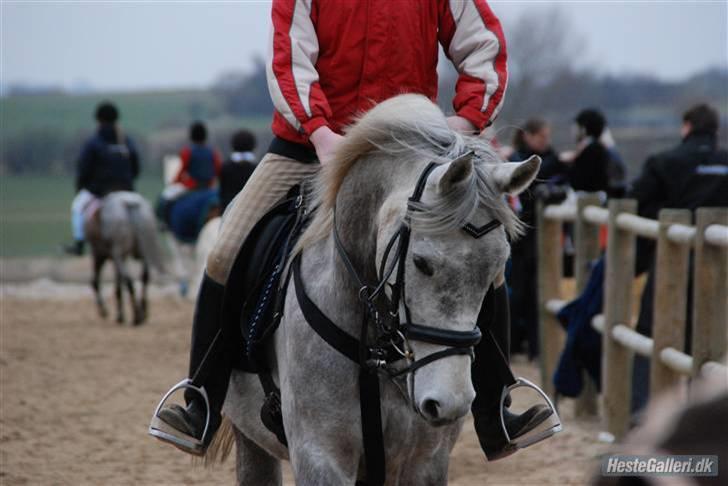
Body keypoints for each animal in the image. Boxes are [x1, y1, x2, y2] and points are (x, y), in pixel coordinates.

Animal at [85, 192, 166, 324]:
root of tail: (129, 203)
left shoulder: (100, 254)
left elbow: (96, 282)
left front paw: (106, 312)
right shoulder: (119, 257)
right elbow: (118, 285)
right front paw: (121, 315)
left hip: (116, 252)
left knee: (128, 281)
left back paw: (136, 316)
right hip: (142, 252)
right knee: (144, 277)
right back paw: (143, 312)